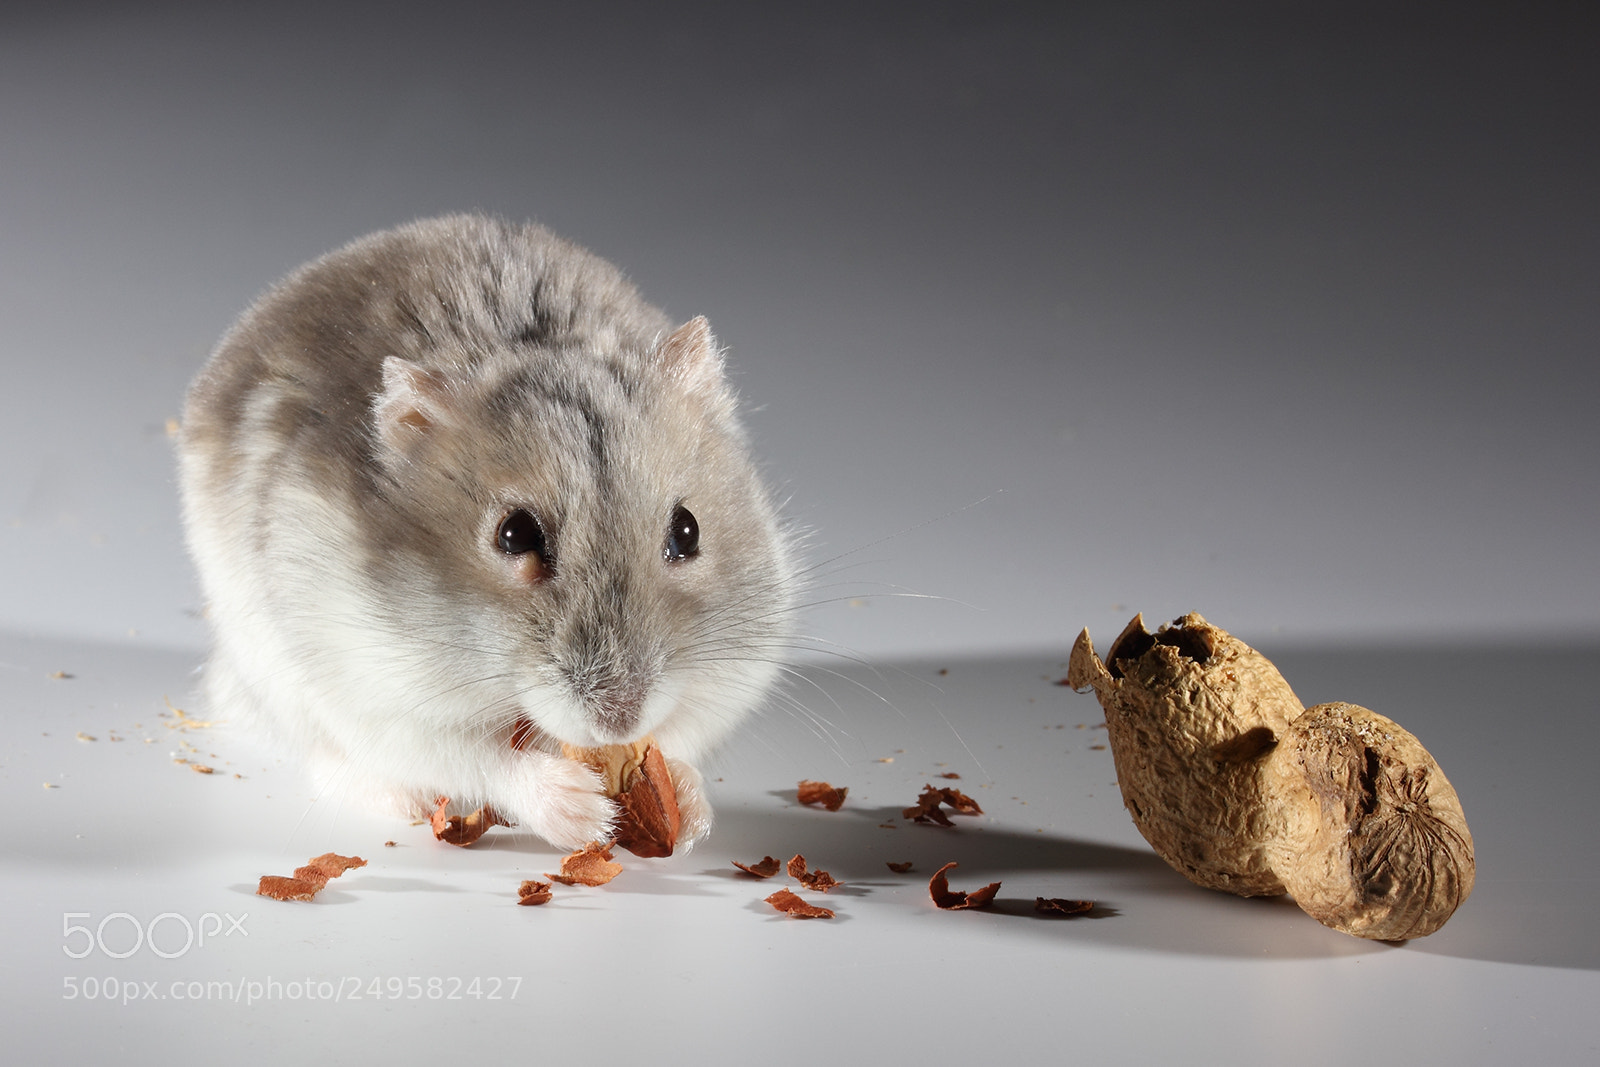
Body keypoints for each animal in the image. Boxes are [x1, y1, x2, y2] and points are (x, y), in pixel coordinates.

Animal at [177, 214, 795, 851]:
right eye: (514, 536)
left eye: (689, 531)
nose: (617, 721)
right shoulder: (382, 698)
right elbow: (481, 760)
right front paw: (589, 814)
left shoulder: (729, 680)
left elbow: (678, 740)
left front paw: (689, 816)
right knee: (334, 765)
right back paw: (404, 801)